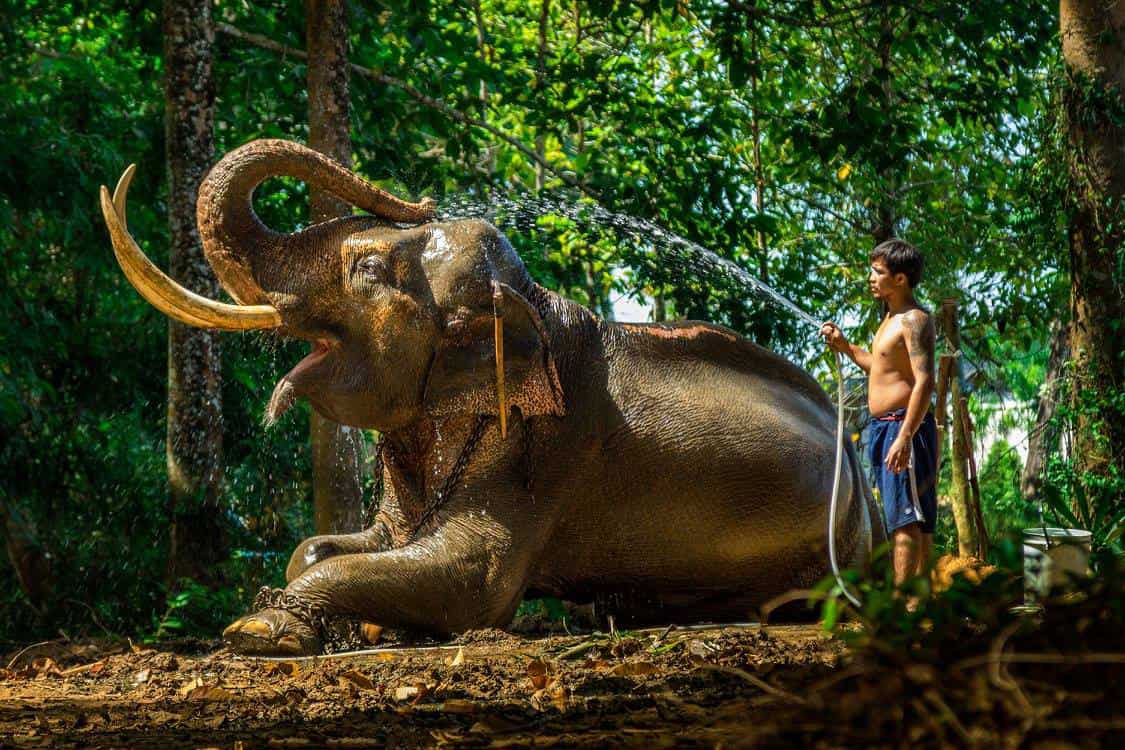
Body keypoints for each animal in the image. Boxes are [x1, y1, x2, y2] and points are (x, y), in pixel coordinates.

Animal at [100, 138, 883, 656]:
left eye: (367, 269)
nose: (416, 198)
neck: (531, 302)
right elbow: (329, 547)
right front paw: (365, 622)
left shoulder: (543, 452)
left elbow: (472, 582)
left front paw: (257, 629)